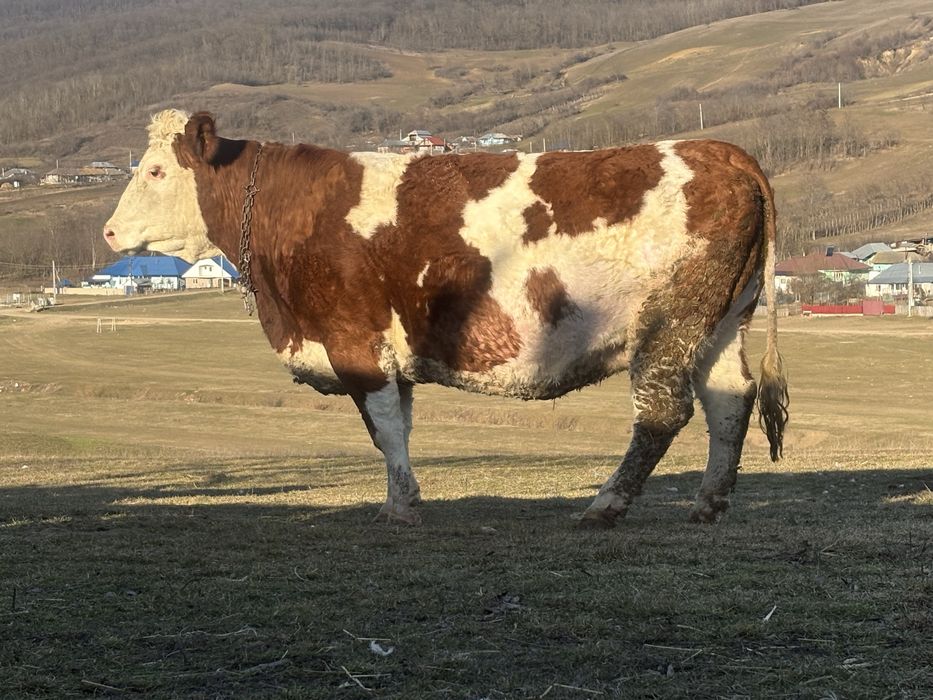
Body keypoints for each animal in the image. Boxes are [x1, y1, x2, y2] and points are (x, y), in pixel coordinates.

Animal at [104, 109, 788, 528]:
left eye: (156, 170)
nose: (109, 231)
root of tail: (722, 152)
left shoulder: (353, 341)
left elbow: (384, 429)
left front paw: (401, 506)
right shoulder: (386, 352)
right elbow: (398, 427)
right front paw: (399, 497)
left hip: (669, 326)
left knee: (663, 412)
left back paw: (606, 505)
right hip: (723, 322)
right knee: (730, 402)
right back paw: (707, 504)